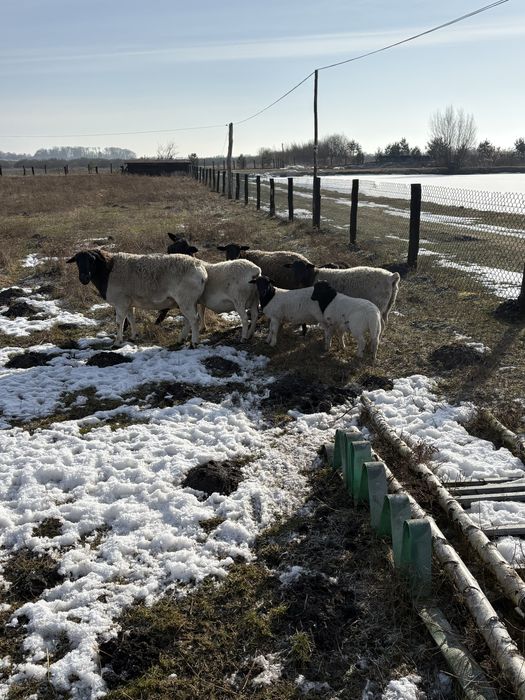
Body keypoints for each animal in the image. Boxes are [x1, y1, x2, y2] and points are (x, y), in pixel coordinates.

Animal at [66, 249, 208, 346]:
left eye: (92, 260)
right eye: (77, 261)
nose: (84, 278)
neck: (107, 271)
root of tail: (201, 270)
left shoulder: (120, 302)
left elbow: (119, 322)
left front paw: (117, 341)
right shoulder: (128, 302)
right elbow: (131, 318)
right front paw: (133, 336)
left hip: (186, 299)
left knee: (194, 319)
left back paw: (194, 342)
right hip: (188, 301)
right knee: (189, 320)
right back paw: (181, 339)